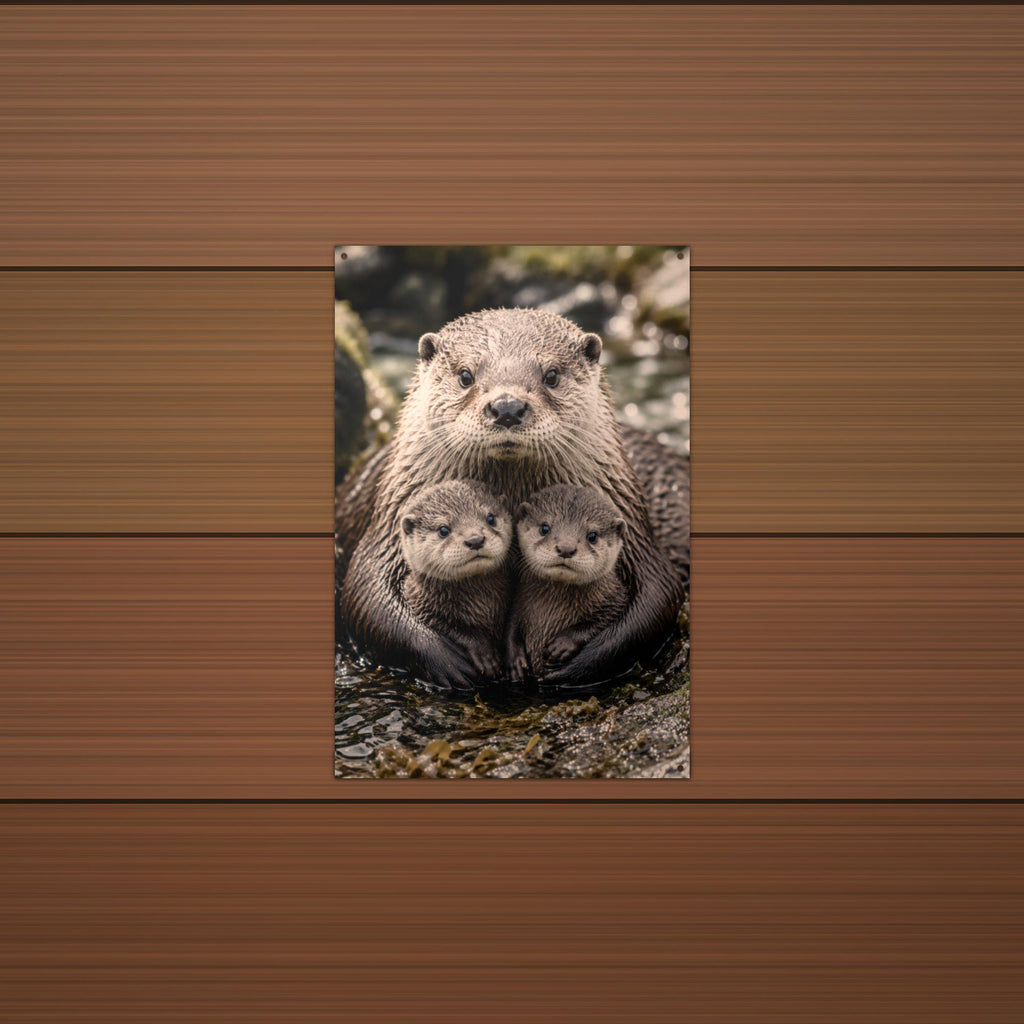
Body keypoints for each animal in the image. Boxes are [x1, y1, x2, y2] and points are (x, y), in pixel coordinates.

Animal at [399, 480, 512, 681]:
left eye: (490, 518)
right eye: (443, 530)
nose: (475, 539)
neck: (482, 605)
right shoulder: (422, 605)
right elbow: (452, 628)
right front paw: (484, 654)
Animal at [506, 486, 629, 682]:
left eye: (592, 535)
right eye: (544, 528)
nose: (565, 548)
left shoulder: (616, 598)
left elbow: (603, 619)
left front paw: (563, 644)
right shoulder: (518, 601)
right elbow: (510, 628)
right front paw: (515, 661)